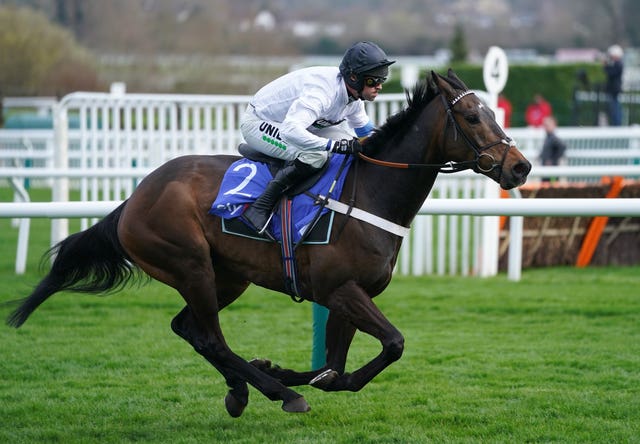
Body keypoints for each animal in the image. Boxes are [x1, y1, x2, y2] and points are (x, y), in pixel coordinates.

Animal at [7, 69, 532, 416]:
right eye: (472, 116)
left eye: (491, 111)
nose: (521, 167)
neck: (370, 194)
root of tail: (134, 197)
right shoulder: (341, 290)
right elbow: (392, 345)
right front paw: (289, 380)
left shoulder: (347, 295)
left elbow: (336, 370)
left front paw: (291, 371)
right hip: (190, 265)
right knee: (211, 337)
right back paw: (277, 395)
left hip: (227, 276)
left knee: (189, 329)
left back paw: (244, 390)